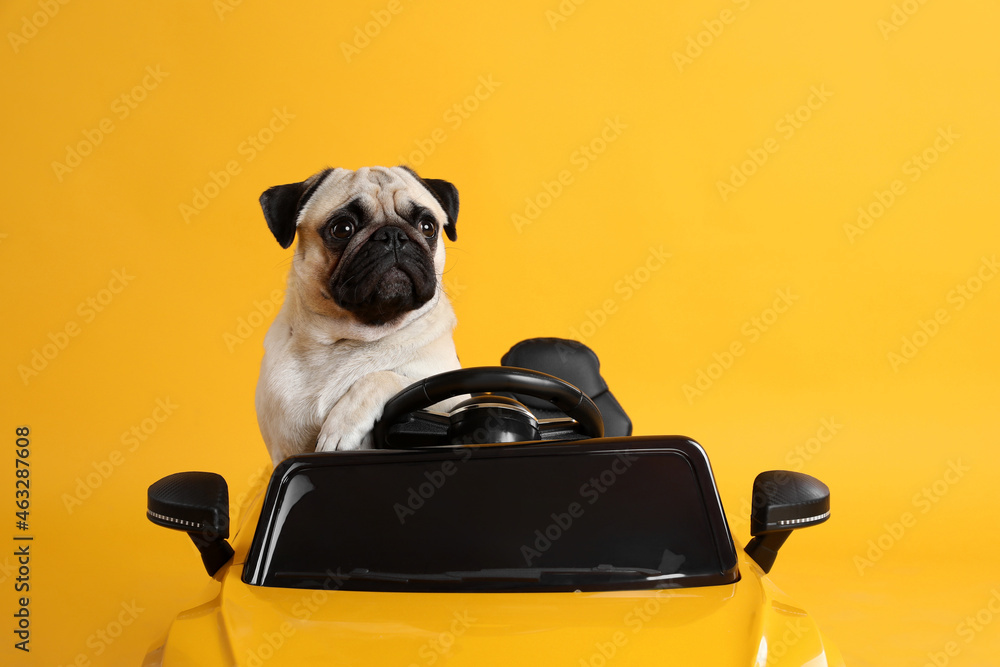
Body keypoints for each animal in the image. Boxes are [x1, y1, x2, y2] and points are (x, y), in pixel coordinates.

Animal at [256, 167, 462, 468]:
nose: (393, 235)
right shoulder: (283, 450)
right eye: (342, 229)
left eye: (428, 227)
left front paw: (340, 427)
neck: (351, 338)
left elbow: (382, 377)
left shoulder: (446, 390)